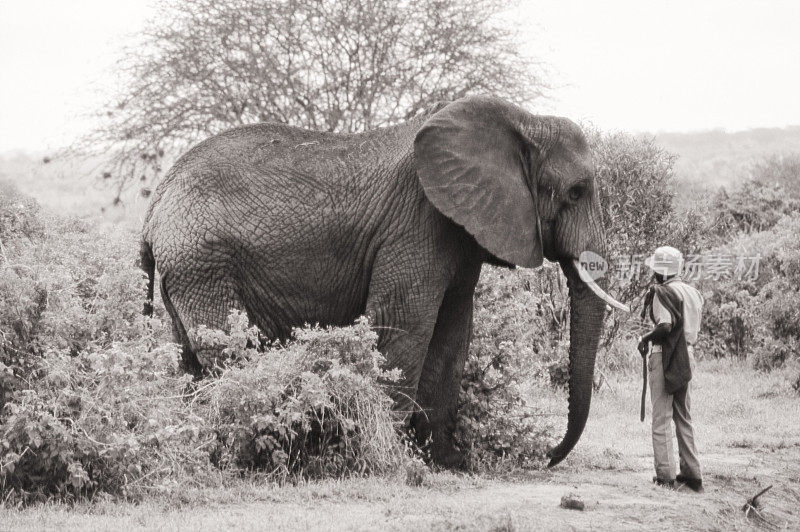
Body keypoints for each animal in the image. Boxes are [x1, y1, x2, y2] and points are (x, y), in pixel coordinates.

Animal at [141, 96, 628, 470]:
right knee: (223, 349)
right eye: (577, 192)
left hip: (186, 267)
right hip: (202, 261)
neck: (523, 121)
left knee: (188, 355)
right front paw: (397, 459)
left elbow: (452, 334)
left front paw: (446, 462)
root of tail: (154, 205)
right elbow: (405, 328)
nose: (546, 456)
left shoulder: (458, 232)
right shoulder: (417, 225)